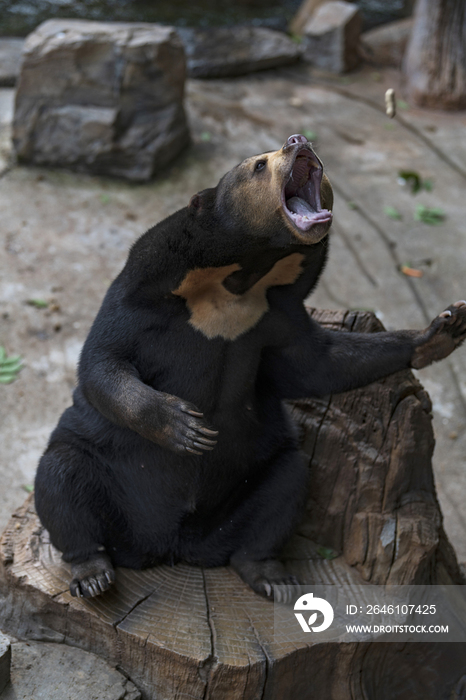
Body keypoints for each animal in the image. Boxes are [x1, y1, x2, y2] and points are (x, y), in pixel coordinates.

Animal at [35, 135, 466, 600]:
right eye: (259, 165)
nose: (298, 140)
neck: (240, 278)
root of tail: (170, 547)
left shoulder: (276, 312)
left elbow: (318, 364)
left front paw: (445, 328)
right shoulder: (142, 292)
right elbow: (102, 361)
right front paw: (186, 427)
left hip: (251, 479)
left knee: (284, 487)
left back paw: (269, 576)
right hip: (104, 469)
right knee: (61, 477)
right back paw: (92, 572)